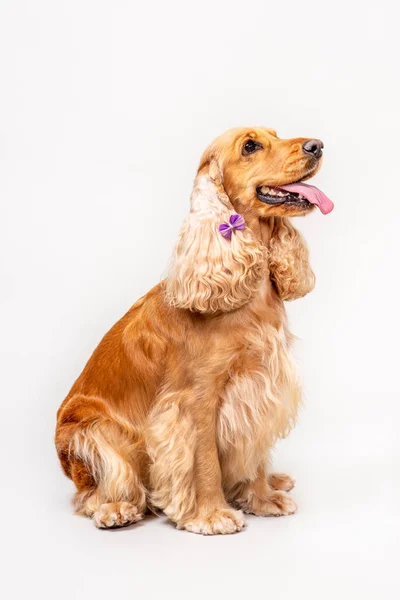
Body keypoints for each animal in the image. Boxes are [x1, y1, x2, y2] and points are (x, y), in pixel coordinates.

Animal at [54, 126, 332, 536]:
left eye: (277, 134)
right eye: (250, 146)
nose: (317, 146)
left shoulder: (261, 384)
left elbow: (255, 451)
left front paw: (262, 498)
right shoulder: (195, 400)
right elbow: (204, 462)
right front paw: (211, 514)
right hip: (94, 431)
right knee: (89, 495)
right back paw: (115, 509)